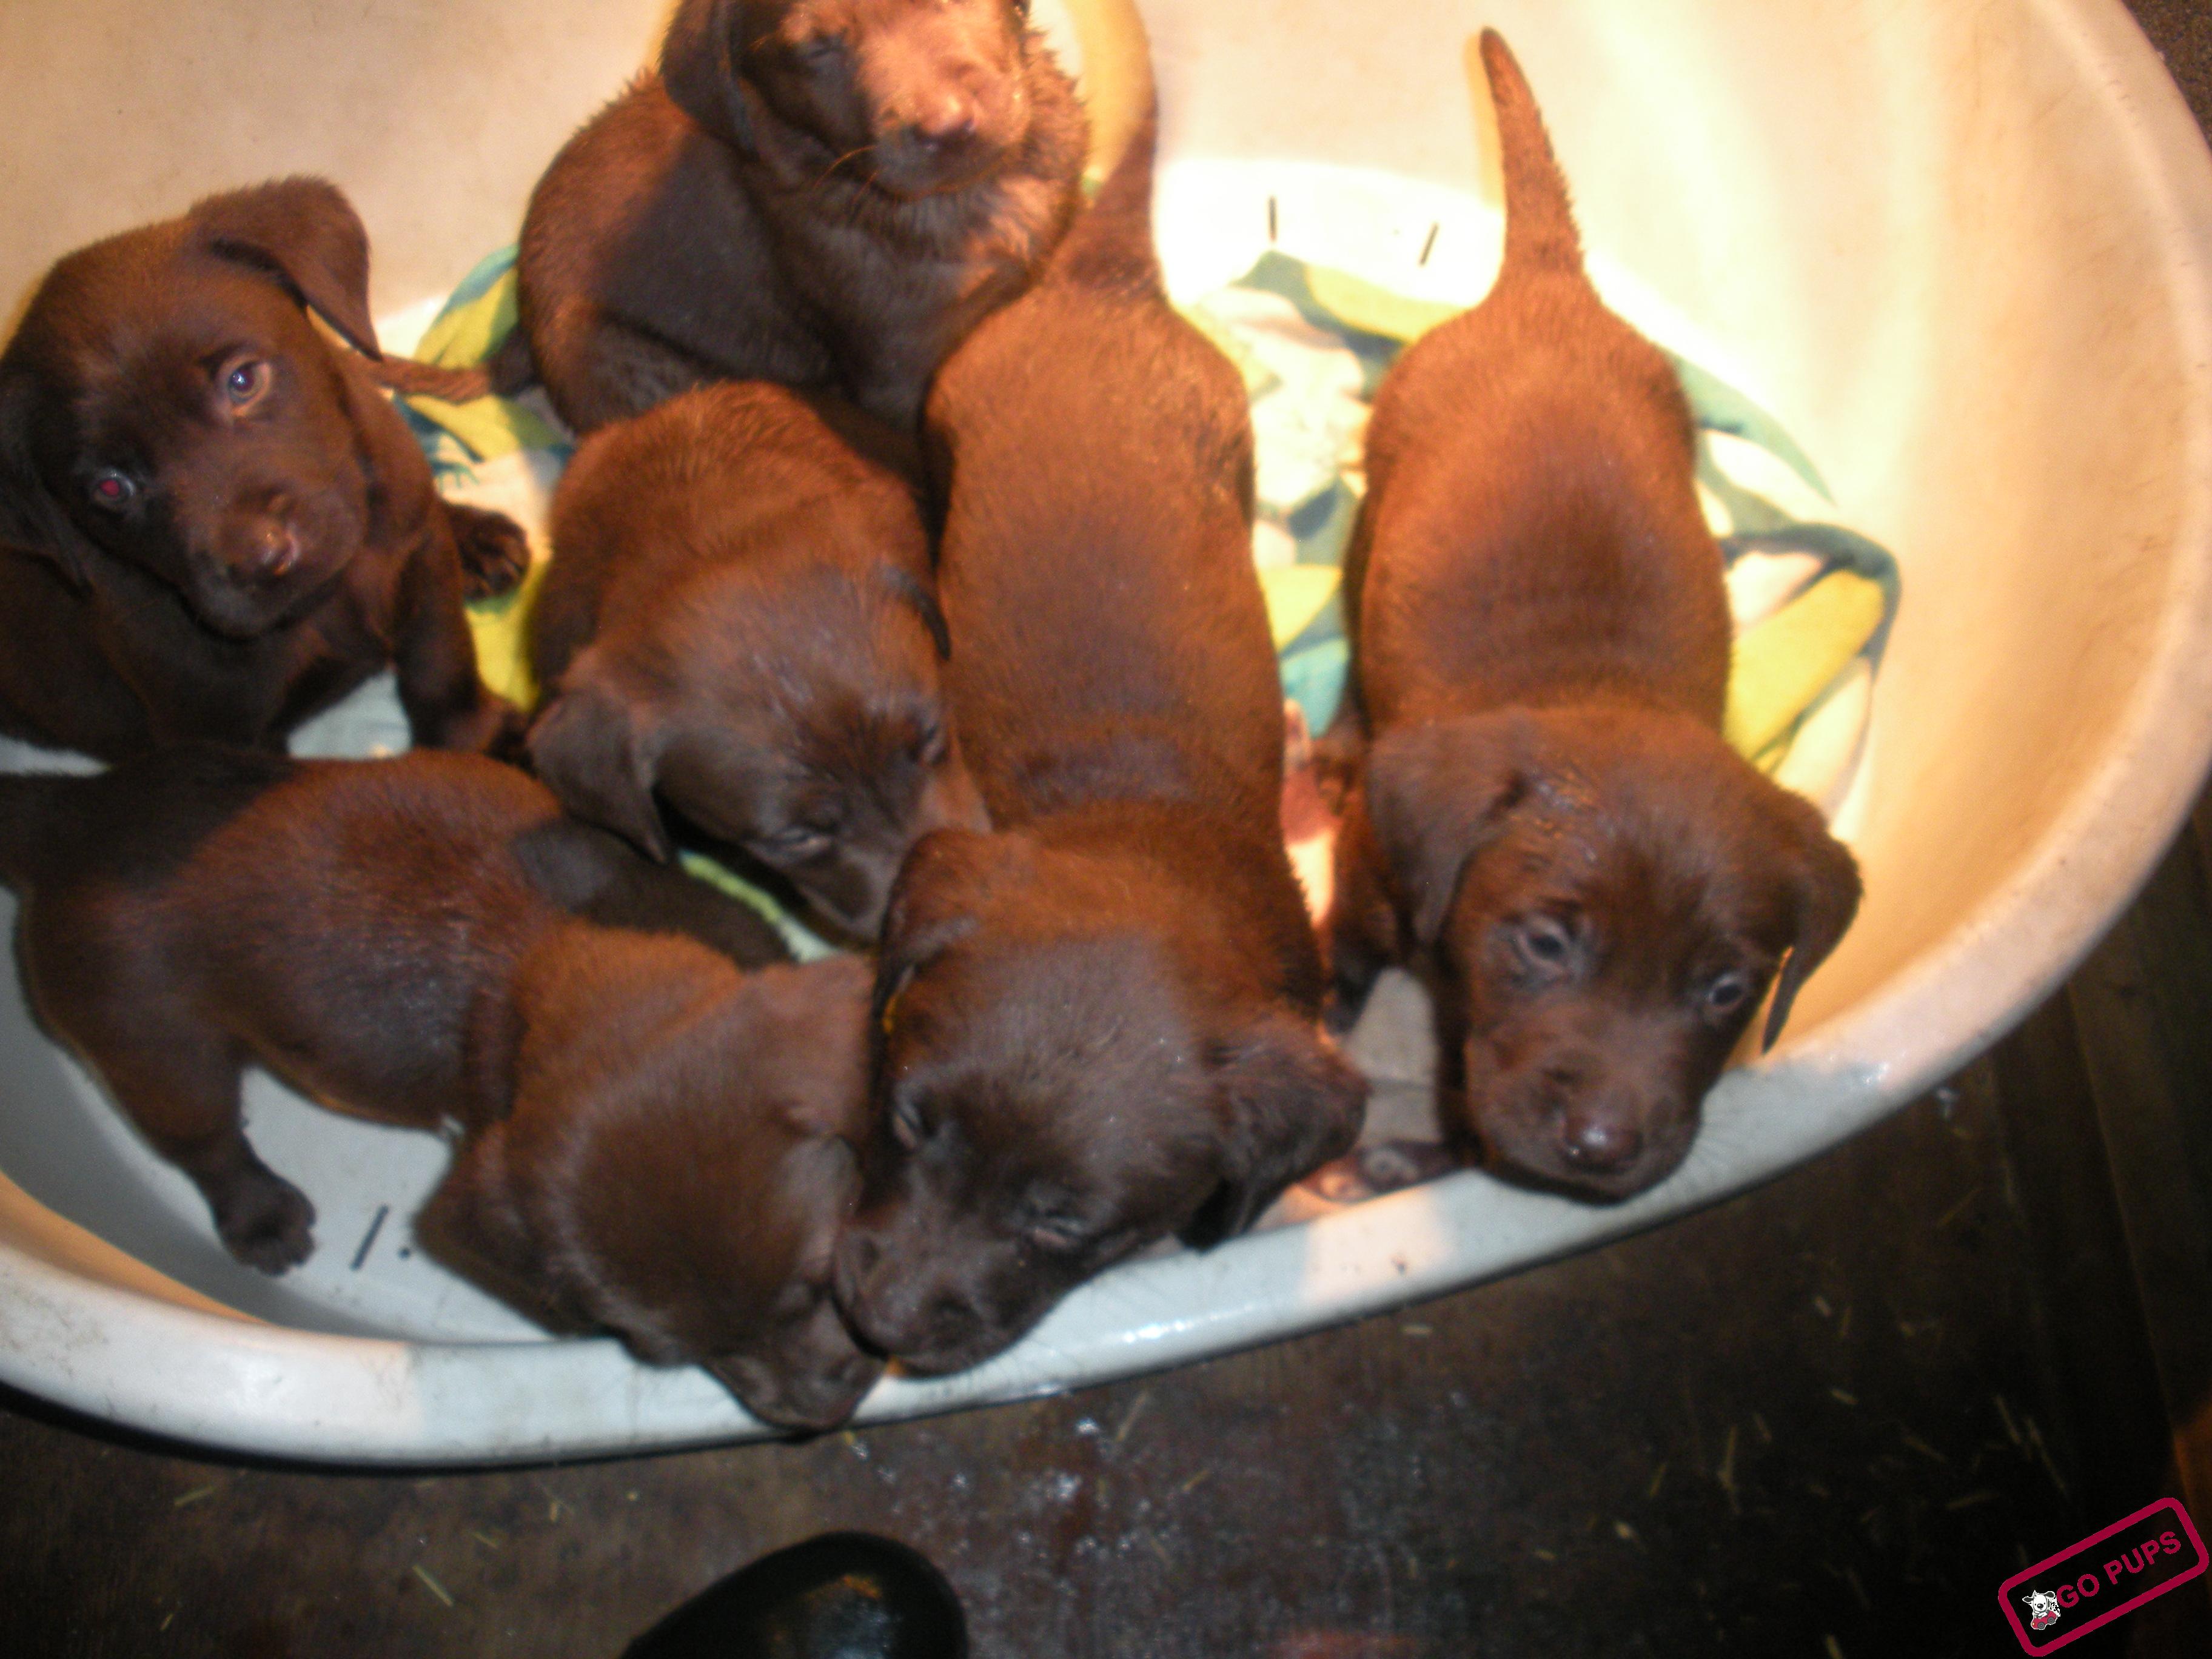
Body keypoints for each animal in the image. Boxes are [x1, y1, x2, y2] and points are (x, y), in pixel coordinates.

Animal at [0, 179, 528, 760]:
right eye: (112, 487)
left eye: (243, 381)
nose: (263, 560)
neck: (327, 597)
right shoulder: (222, 734)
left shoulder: (425, 562)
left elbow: (441, 664)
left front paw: (478, 739)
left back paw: (478, 537)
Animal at [0, 747, 882, 1431]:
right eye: (667, 1355)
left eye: (815, 1283)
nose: (819, 1411)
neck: (543, 950)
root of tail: (69, 817)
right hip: (155, 1050)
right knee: (207, 1145)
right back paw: (261, 1218)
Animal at [1323, 34, 1862, 1203]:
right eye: (1542, 945)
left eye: (1725, 989)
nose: (1604, 1149)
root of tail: (1546, 282)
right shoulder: (1367, 877)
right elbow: (1340, 962)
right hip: (1378, 491)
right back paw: (1339, 738)